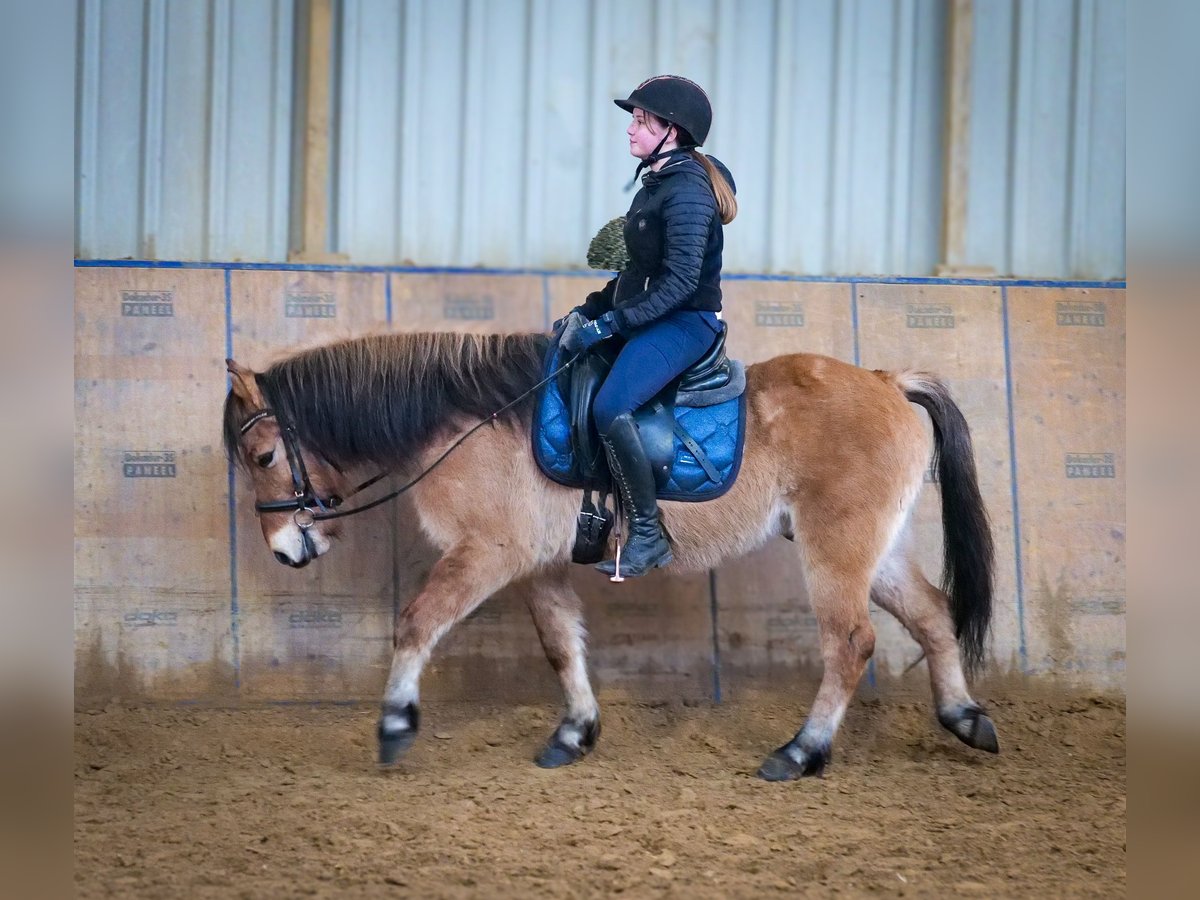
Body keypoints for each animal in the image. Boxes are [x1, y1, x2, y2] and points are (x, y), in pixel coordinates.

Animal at [220, 331, 998, 782]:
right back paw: (964, 717)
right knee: (932, 615)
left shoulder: (487, 553)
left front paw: (394, 725)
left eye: (263, 456)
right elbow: (561, 645)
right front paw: (575, 732)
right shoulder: (535, 565)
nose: (285, 551)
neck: (470, 420)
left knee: (851, 642)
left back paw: (801, 752)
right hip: (876, 550)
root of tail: (888, 379)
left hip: (835, 547)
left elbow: (416, 623)